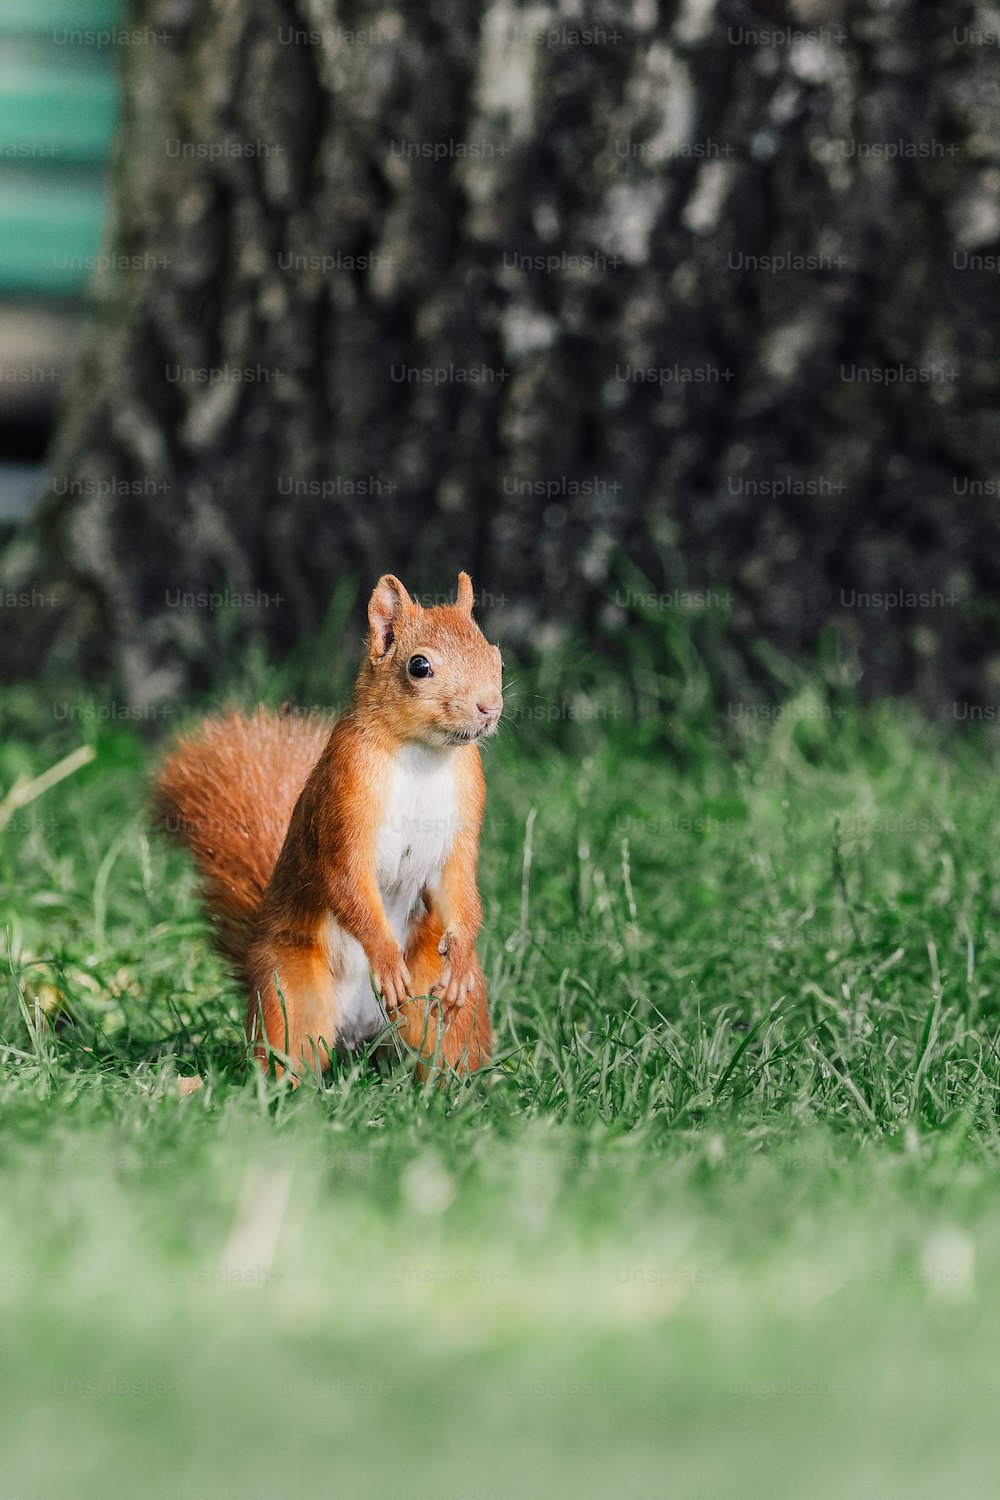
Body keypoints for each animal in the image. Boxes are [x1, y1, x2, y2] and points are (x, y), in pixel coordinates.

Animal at [152, 570, 503, 1080]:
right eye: (419, 666)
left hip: (439, 1006)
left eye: (497, 657)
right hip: (292, 992)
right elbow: (346, 878)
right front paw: (384, 957)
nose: (488, 707)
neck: (424, 754)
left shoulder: (464, 814)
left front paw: (456, 961)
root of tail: (361, 1031)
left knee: (445, 1049)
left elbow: (459, 887)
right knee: (287, 1053)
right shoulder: (345, 794)